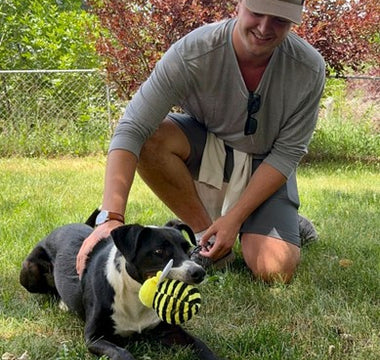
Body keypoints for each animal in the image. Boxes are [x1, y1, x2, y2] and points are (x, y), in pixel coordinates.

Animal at [20, 215, 223, 358]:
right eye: (158, 251)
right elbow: (122, 353)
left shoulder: (170, 331)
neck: (134, 293)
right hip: (29, 271)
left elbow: (200, 344)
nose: (198, 273)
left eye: (187, 249)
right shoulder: (94, 338)